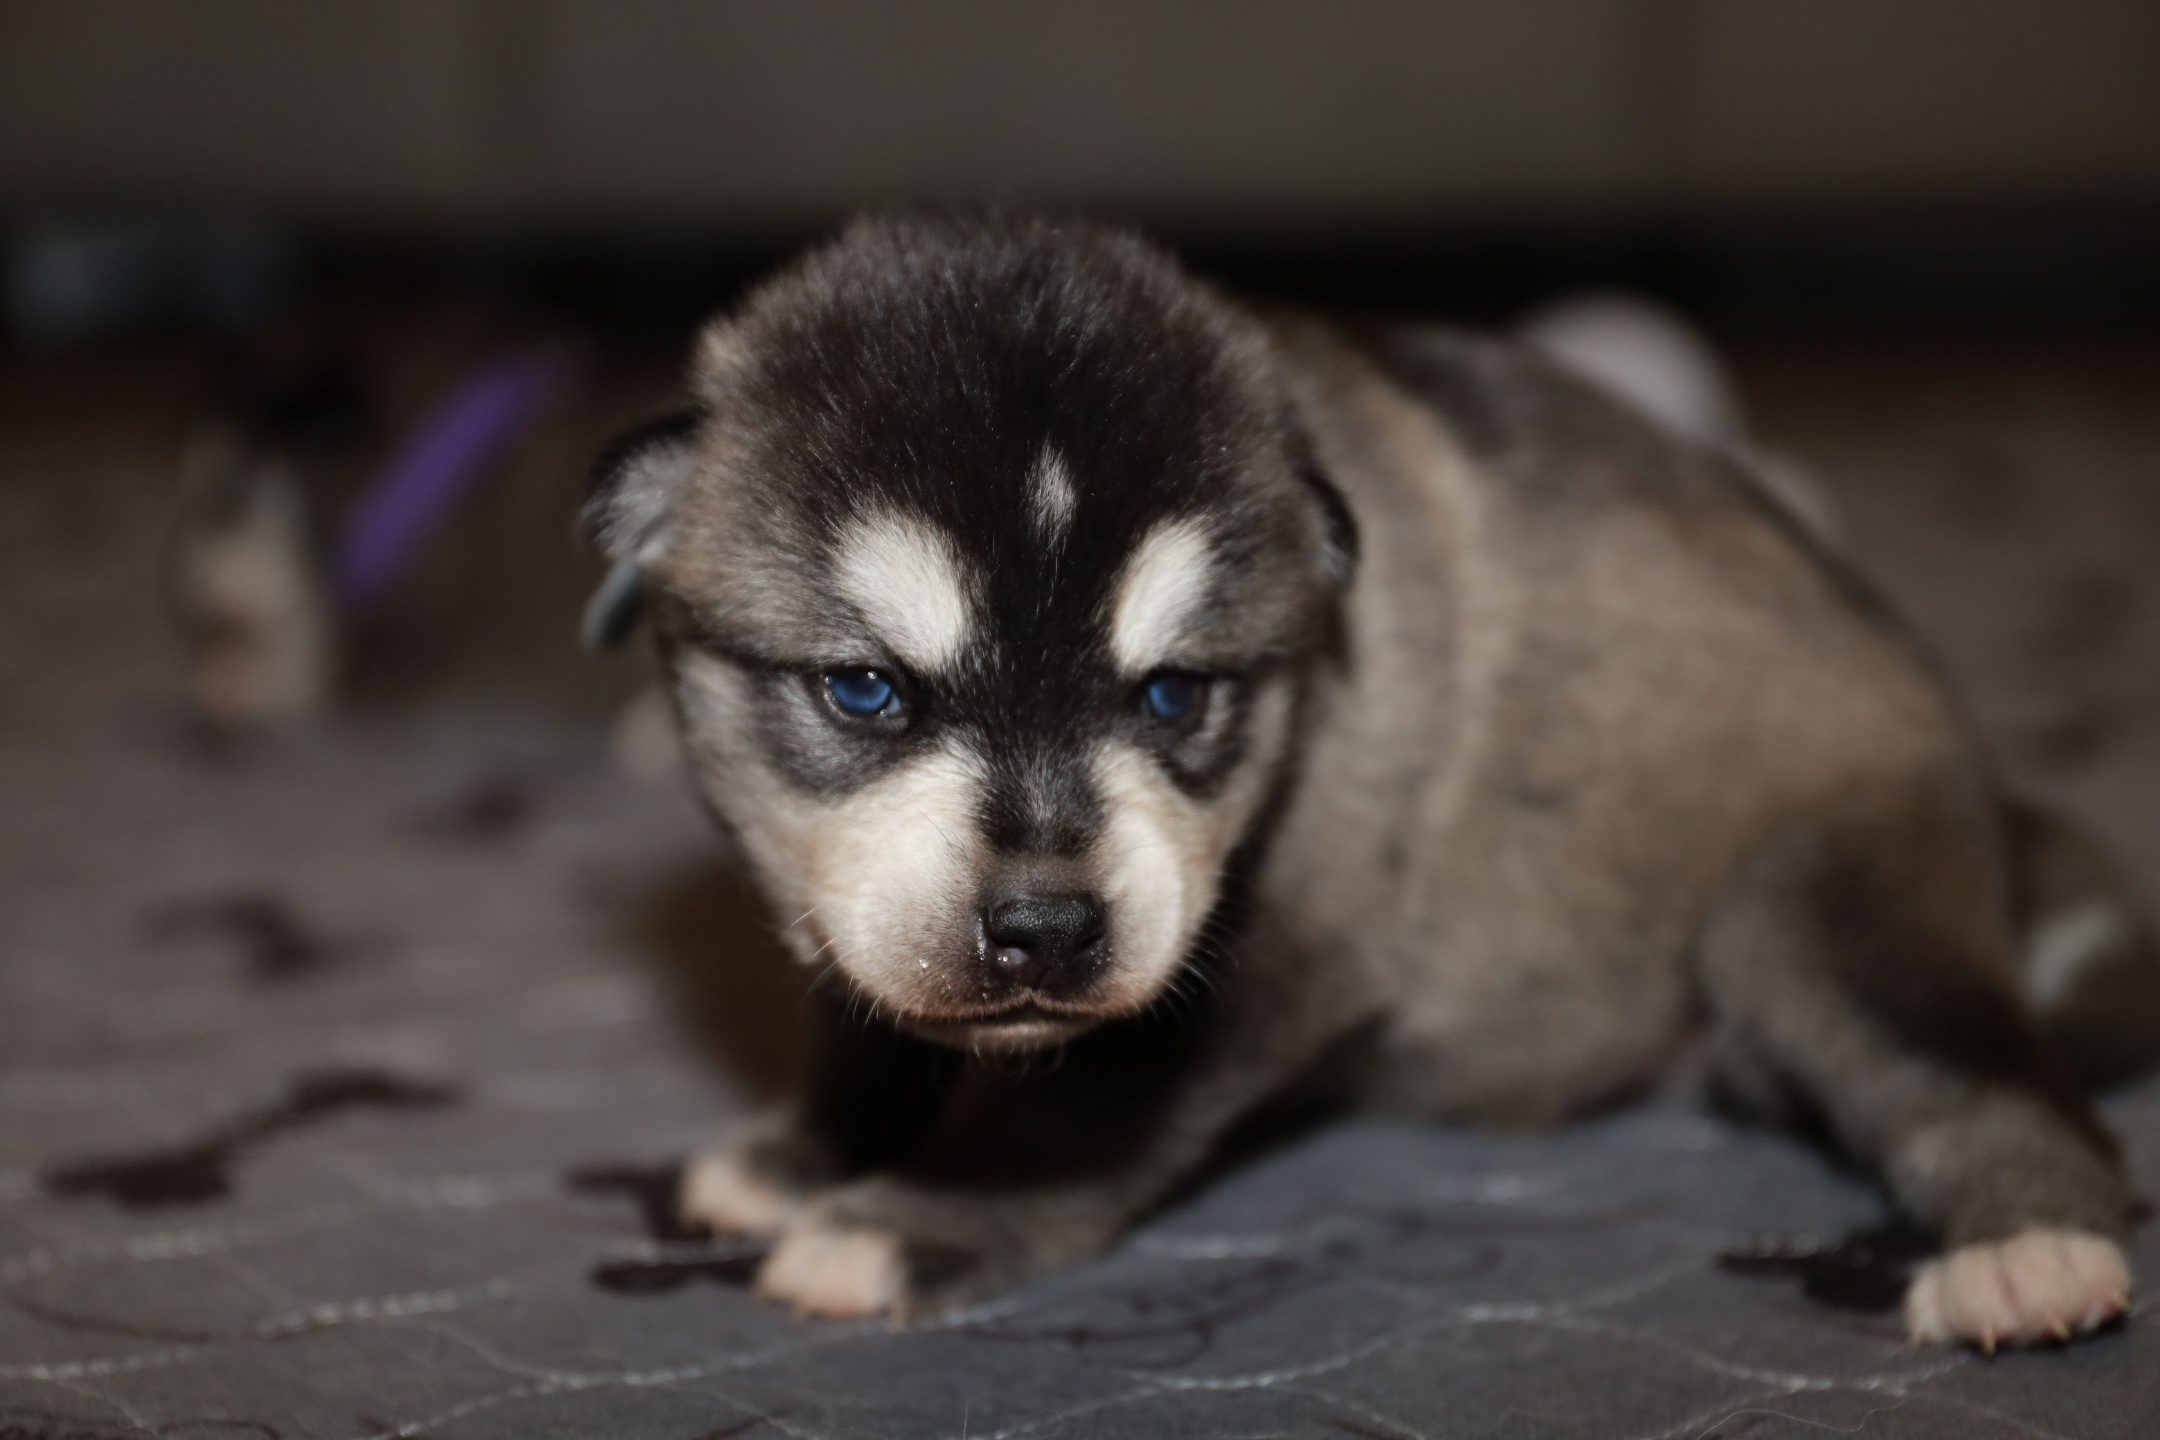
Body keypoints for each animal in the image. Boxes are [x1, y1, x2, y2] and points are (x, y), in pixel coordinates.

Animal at [582, 212, 2160, 1347]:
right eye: (866, 689)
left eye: (1174, 694)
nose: (1046, 930)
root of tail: (1983, 791)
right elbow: (863, 1019)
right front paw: (798, 1154)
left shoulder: (1267, 963)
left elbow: (1075, 1123)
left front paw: (909, 1222)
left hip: (1824, 908)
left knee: (1979, 1083)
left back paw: (2032, 1257)